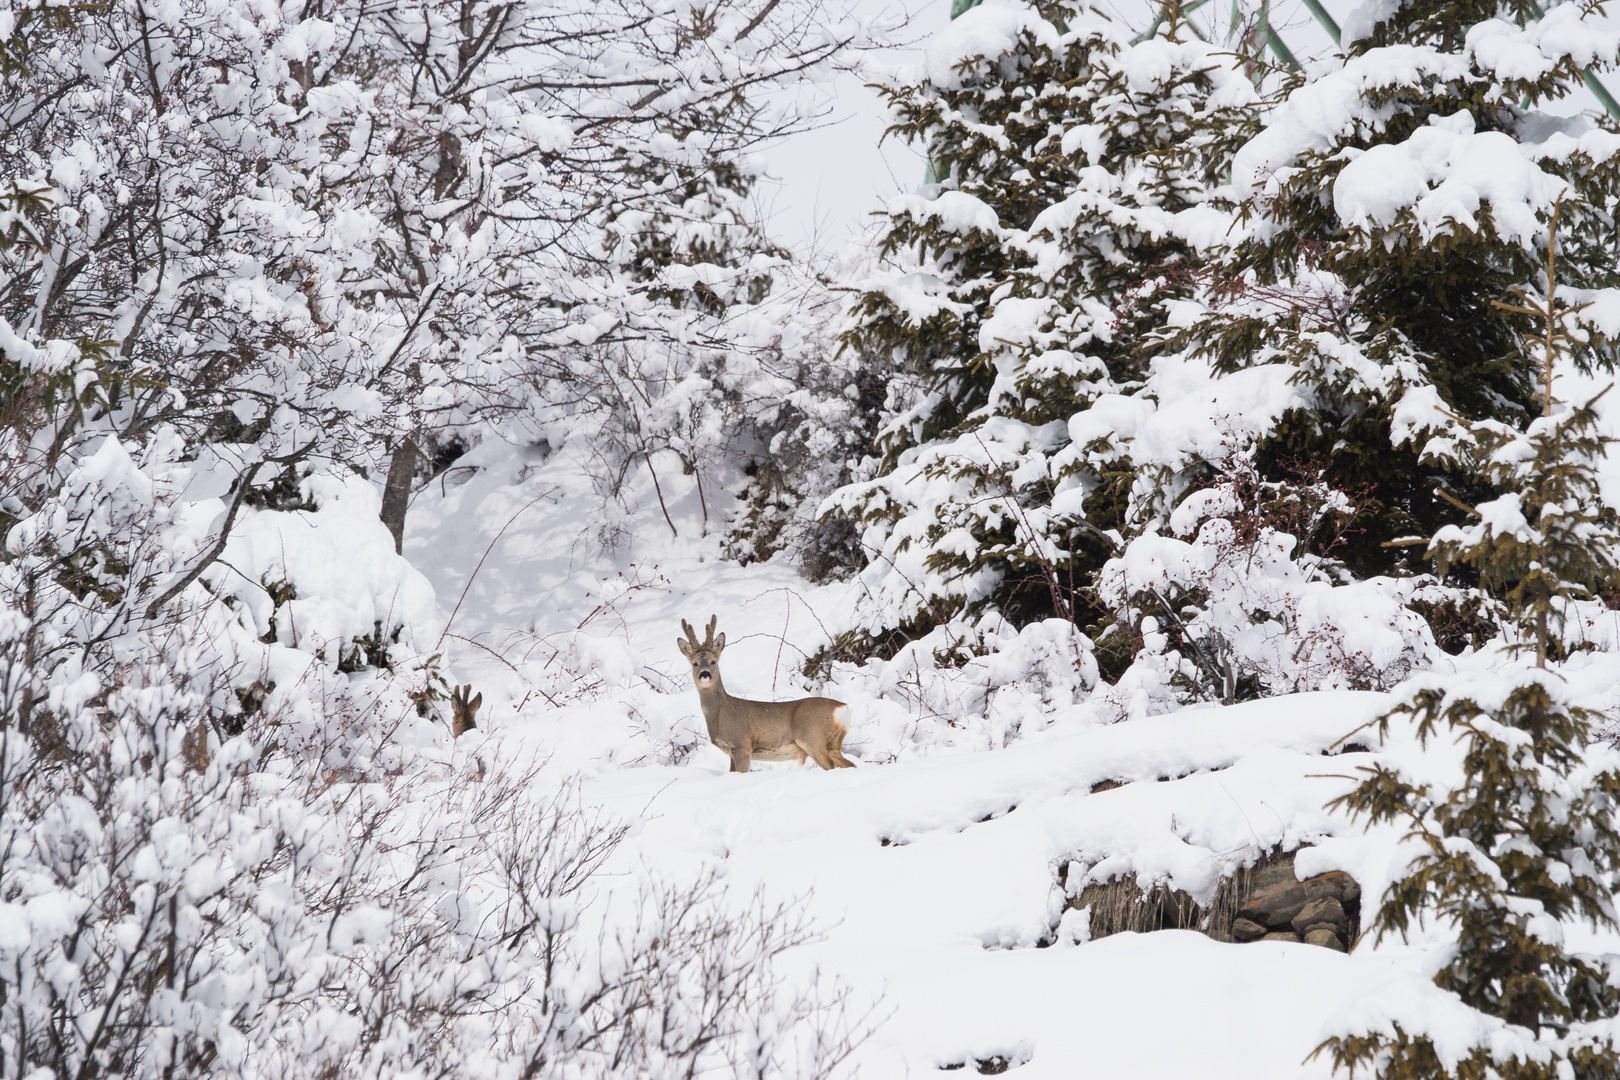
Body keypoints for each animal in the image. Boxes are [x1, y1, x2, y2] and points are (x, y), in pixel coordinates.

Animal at [673, 615, 855, 777]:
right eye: (695, 663)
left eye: (713, 661)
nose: (705, 673)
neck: (721, 712)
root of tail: (843, 708)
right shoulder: (732, 751)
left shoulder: (742, 745)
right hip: (832, 743)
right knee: (850, 765)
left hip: (812, 738)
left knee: (833, 766)